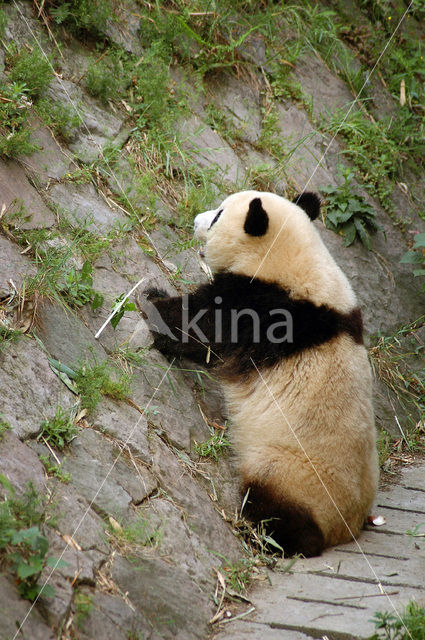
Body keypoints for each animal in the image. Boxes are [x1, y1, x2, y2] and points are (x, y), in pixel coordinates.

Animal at [147, 189, 378, 556]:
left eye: (218, 216)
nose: (196, 220)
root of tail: (347, 528)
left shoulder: (263, 306)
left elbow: (202, 327)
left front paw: (151, 304)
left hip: (293, 472)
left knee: (277, 504)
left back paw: (267, 534)